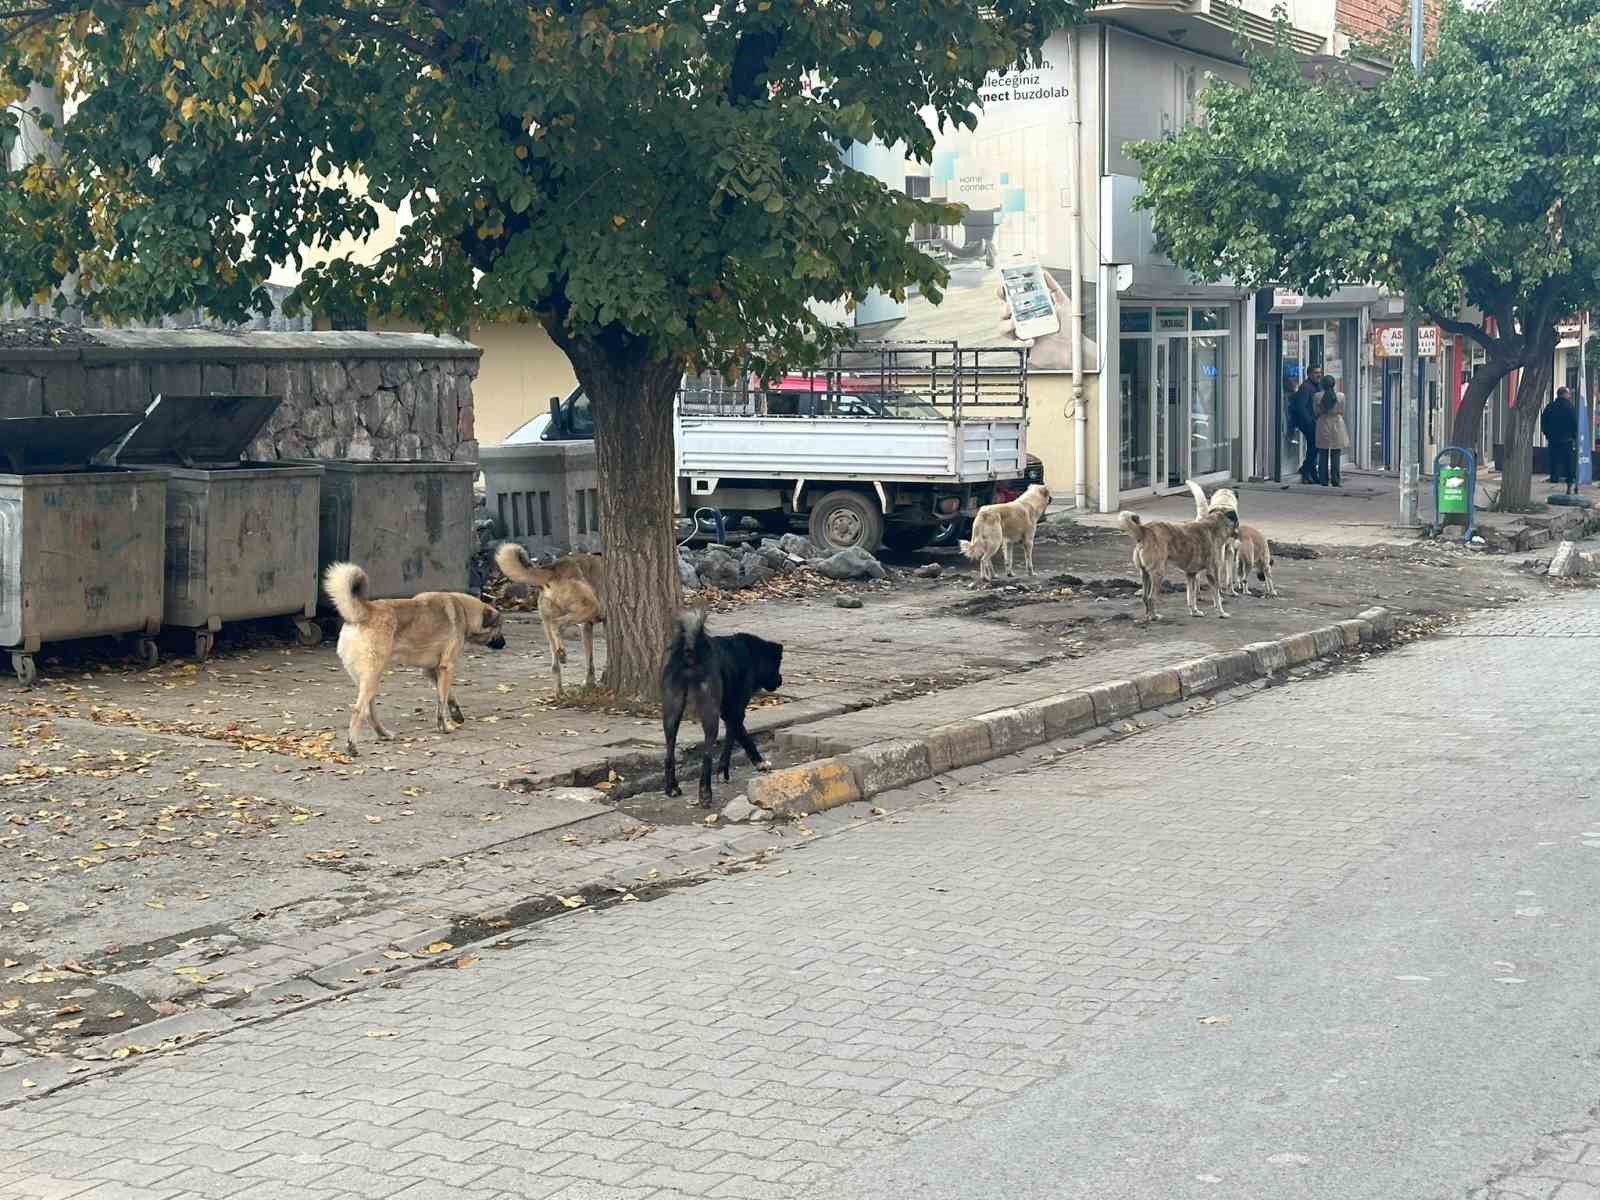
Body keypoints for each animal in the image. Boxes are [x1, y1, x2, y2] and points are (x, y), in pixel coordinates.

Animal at [321, 563, 502, 752]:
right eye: (500, 627)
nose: (503, 644)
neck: (464, 610)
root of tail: (365, 611)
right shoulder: (447, 667)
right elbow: (442, 701)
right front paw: (444, 726)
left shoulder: (432, 670)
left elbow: (447, 696)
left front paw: (455, 714)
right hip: (372, 676)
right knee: (358, 710)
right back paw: (352, 746)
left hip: (367, 680)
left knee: (370, 711)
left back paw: (383, 734)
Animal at [492, 544, 601, 700]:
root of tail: (554, 568)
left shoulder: (586, 626)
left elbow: (590, 662)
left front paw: (589, 684)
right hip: (591, 607)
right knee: (557, 624)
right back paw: (562, 653)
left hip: (547, 623)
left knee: (555, 665)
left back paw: (559, 692)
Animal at [659, 611, 784, 809]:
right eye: (777, 664)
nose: (781, 680)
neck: (752, 654)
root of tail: (691, 651)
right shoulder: (736, 711)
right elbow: (733, 740)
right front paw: (726, 771)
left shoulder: (730, 712)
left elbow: (742, 735)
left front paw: (757, 762)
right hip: (710, 712)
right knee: (707, 755)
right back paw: (705, 794)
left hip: (672, 710)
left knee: (669, 753)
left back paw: (671, 788)